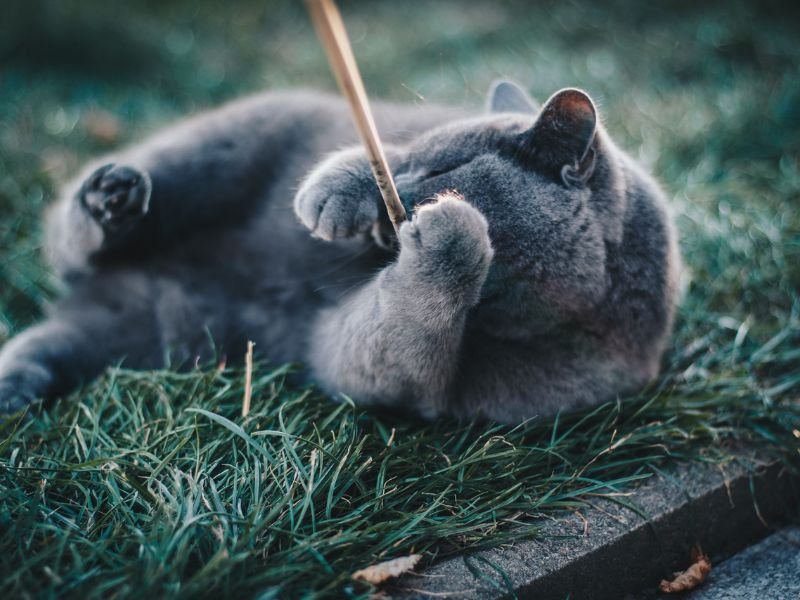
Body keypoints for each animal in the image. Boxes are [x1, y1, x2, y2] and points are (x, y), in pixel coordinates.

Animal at [0, 82, 680, 424]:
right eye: (411, 158)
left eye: (445, 171)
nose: (396, 202)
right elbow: (362, 159)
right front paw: (338, 191)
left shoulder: (416, 385)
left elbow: (387, 341)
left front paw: (453, 230)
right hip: (220, 142)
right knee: (70, 235)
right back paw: (112, 198)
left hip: (160, 332)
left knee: (58, 337)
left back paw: (16, 386)